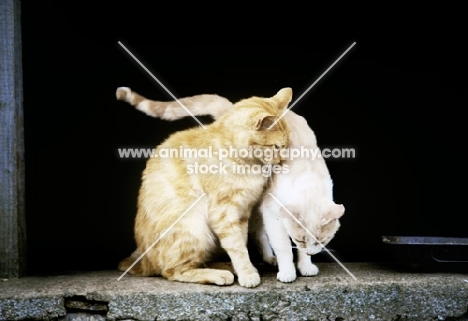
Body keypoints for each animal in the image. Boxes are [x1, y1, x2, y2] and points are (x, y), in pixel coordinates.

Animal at [116, 86, 344, 282]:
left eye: (287, 144)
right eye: (277, 147)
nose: (282, 161)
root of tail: (142, 262)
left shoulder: (244, 209)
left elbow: (241, 243)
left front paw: (304, 264)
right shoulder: (228, 211)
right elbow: (246, 246)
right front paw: (254, 274)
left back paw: (232, 265)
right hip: (194, 228)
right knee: (174, 270)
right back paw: (221, 274)